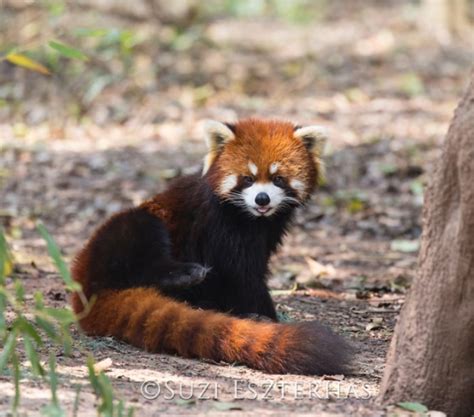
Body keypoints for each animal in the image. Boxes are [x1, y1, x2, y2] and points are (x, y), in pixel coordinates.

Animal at [71, 116, 352, 374]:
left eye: (278, 179)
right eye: (247, 179)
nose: (262, 199)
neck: (252, 219)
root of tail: (87, 287)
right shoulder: (218, 227)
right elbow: (241, 276)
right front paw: (266, 315)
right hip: (129, 231)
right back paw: (185, 275)